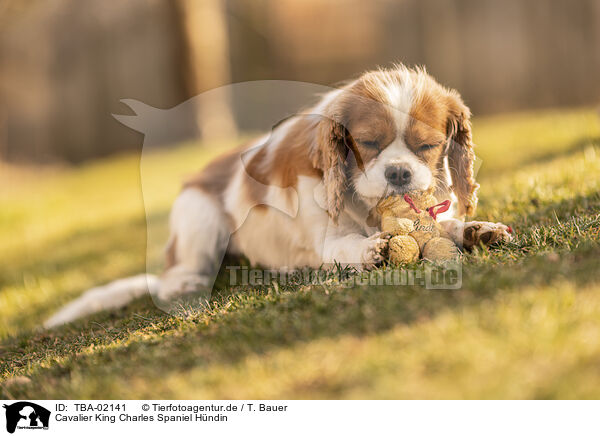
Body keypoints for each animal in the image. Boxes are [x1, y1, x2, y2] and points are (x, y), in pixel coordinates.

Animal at [45, 65, 510, 328]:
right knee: (177, 271)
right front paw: (370, 249)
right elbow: (345, 246)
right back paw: (187, 282)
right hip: (199, 215)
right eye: (367, 143)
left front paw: (477, 230)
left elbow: (446, 228)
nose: (398, 173)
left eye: (428, 146)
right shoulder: (323, 239)